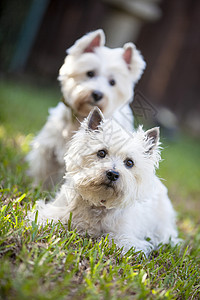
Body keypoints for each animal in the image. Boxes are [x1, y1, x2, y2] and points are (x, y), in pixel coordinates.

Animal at [26, 28, 145, 188]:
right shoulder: (48, 150)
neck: (81, 117)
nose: (97, 94)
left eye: (112, 82)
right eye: (90, 73)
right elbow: (43, 173)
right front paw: (36, 188)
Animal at [27, 106, 179, 254]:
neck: (97, 203)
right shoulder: (52, 213)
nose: (112, 174)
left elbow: (113, 241)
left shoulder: (125, 238)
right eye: (101, 153)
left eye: (129, 162)